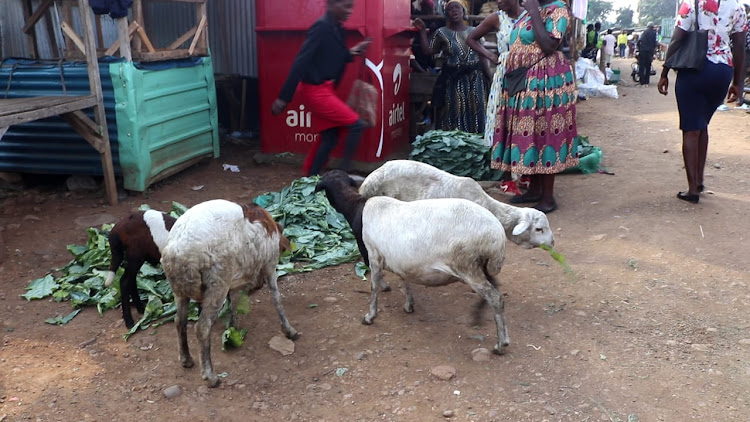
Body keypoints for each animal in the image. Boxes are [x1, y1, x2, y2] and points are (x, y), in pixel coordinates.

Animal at [162, 199, 300, 388]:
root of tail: (178, 251)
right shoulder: (269, 264)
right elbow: (276, 297)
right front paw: (289, 331)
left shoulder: (236, 279)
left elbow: (234, 301)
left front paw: (234, 327)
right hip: (217, 283)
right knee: (202, 327)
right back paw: (210, 376)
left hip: (180, 290)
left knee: (179, 321)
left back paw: (186, 359)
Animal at [314, 170, 516, 354]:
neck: (357, 207)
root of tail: (498, 236)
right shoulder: (399, 257)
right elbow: (404, 278)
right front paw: (409, 305)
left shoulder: (373, 253)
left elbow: (374, 286)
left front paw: (370, 316)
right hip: (481, 267)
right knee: (495, 287)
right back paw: (477, 317)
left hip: (467, 266)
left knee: (496, 298)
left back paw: (501, 343)